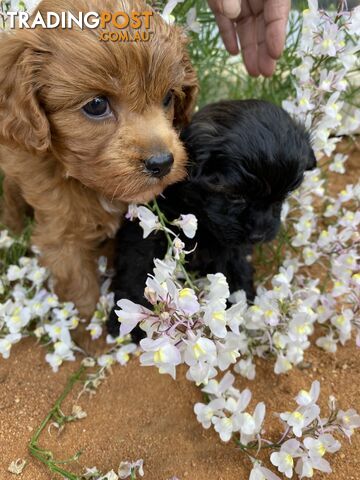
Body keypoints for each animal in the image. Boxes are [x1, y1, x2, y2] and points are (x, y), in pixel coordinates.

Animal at [0, 0, 197, 316]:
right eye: (95, 105)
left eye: (168, 97)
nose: (162, 163)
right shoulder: (62, 238)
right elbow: (80, 291)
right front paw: (92, 328)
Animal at [107, 99, 316, 336]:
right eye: (235, 196)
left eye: (282, 197)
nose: (258, 235)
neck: (201, 218)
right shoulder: (146, 232)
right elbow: (138, 264)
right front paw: (131, 319)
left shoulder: (231, 246)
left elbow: (234, 267)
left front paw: (241, 302)